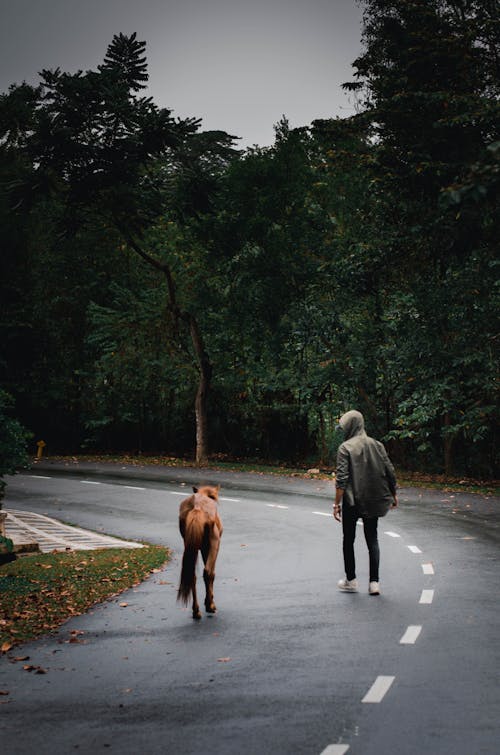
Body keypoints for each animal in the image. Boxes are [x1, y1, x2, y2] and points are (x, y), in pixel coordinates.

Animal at [176, 490, 223, 620]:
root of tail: (196, 507)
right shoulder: (211, 546)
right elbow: (211, 573)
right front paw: (210, 603)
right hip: (213, 542)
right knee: (207, 572)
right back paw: (209, 606)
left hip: (190, 545)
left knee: (191, 574)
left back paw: (196, 611)